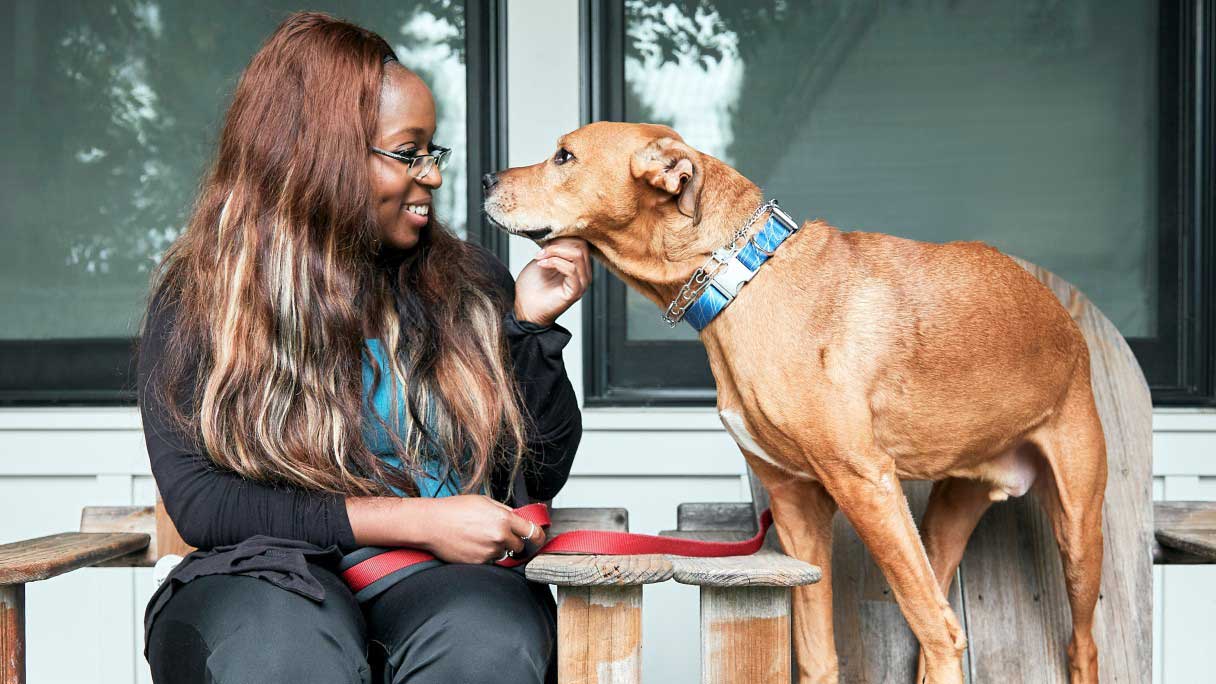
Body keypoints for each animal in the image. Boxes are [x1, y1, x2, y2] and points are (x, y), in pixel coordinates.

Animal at [479, 123, 1108, 681]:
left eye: (564, 156)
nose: (484, 177)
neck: (742, 279)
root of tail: (1063, 321)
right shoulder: (796, 503)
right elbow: (817, 651)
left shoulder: (865, 483)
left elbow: (936, 628)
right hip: (943, 524)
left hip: (1077, 531)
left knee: (1066, 642)